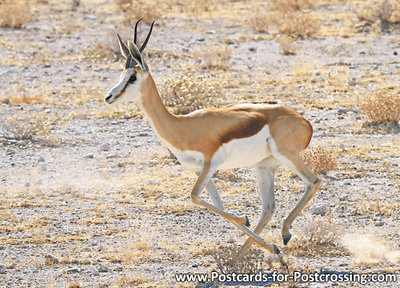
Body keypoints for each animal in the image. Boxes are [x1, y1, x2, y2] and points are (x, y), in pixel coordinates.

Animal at [104, 19, 322, 255]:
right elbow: (217, 205)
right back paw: (251, 252)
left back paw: (284, 233)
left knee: (314, 181)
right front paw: (259, 237)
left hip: (287, 155)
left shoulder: (210, 164)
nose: (109, 97)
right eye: (121, 75)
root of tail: (304, 122)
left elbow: (194, 196)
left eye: (132, 77)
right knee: (269, 208)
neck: (181, 126)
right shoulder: (199, 170)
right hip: (265, 166)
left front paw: (244, 219)